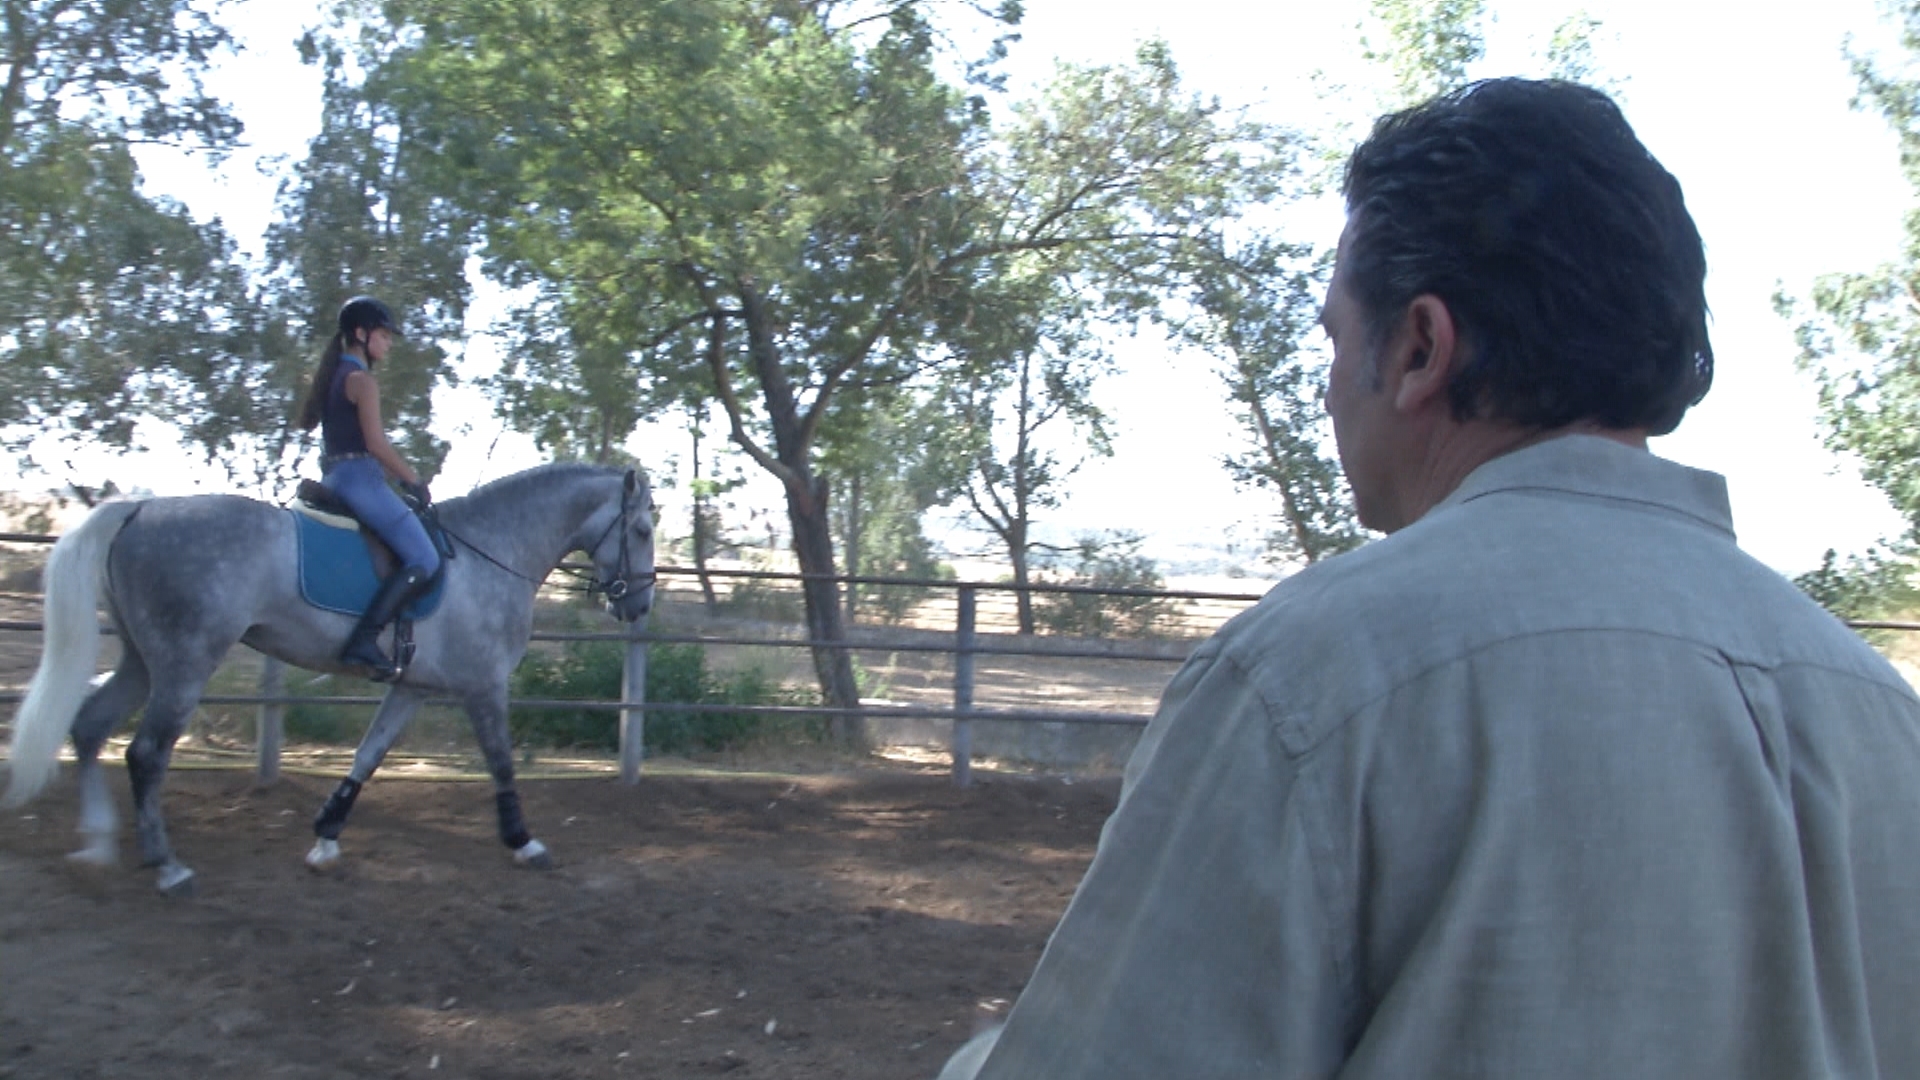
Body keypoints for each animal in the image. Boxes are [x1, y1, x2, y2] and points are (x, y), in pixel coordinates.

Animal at [1, 463, 652, 891]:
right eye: (643, 531)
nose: (638, 605)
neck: (492, 551)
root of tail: (137, 508)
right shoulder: (484, 686)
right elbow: (502, 764)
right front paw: (525, 842)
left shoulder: (412, 688)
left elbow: (368, 755)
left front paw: (325, 838)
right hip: (186, 661)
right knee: (145, 753)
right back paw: (166, 864)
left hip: (142, 659)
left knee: (90, 726)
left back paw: (97, 840)